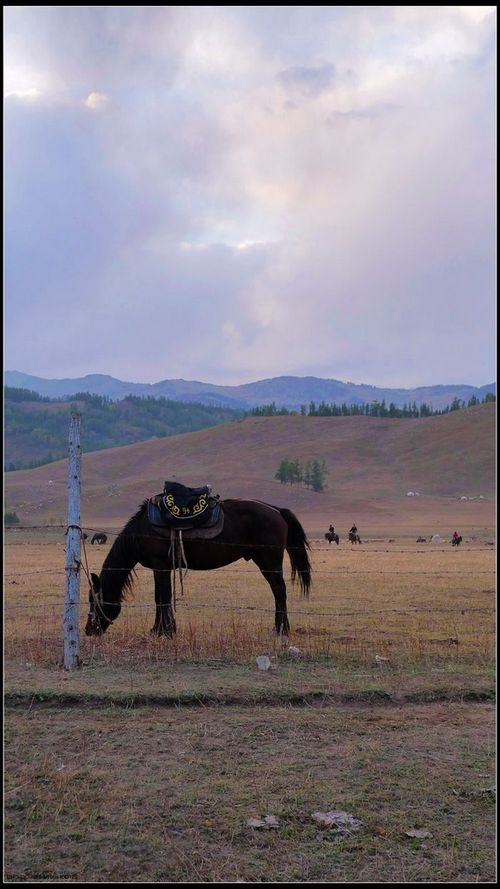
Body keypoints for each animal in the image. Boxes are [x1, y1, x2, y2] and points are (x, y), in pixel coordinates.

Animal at [86, 500, 312, 640]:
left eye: (94, 601)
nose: (89, 630)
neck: (141, 532)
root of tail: (276, 510)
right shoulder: (162, 568)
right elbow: (161, 598)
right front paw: (160, 629)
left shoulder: (160, 566)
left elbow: (162, 598)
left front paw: (164, 631)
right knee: (278, 591)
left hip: (269, 561)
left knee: (279, 591)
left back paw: (281, 629)